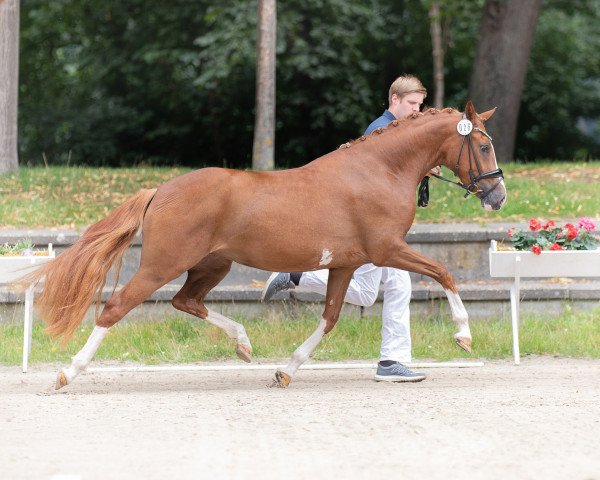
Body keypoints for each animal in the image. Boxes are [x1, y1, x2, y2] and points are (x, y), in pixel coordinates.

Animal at [21, 99, 504, 388]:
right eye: (483, 145)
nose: (497, 196)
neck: (379, 170)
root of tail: (159, 190)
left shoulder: (346, 263)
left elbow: (329, 318)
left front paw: (285, 370)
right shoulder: (387, 249)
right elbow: (444, 272)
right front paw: (463, 336)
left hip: (212, 265)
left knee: (186, 301)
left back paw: (244, 343)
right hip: (162, 264)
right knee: (117, 307)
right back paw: (68, 372)